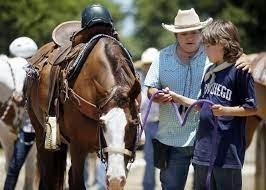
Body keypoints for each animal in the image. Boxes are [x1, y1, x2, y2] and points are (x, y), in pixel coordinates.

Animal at [25, 34, 141, 190]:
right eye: (102, 124)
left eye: (134, 124)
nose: (116, 179)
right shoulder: (77, 147)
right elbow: (77, 182)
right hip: (40, 135)